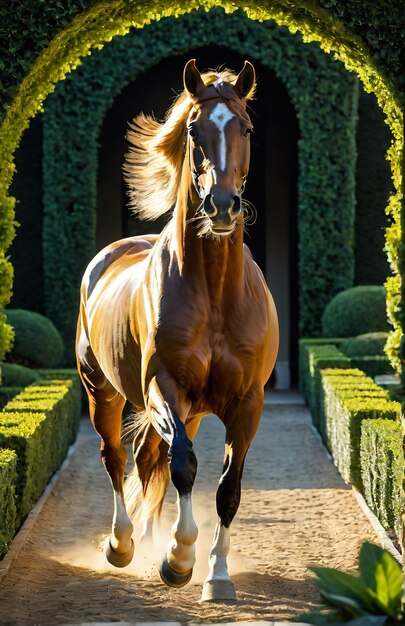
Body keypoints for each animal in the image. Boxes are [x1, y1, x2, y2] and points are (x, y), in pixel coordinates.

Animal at [75, 59, 278, 600]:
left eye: (245, 128)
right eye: (193, 129)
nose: (222, 206)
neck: (214, 292)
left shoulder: (246, 403)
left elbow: (228, 487)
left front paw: (218, 576)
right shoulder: (162, 387)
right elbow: (185, 464)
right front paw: (179, 558)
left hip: (191, 411)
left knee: (151, 459)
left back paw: (149, 542)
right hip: (104, 392)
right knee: (116, 456)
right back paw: (124, 545)